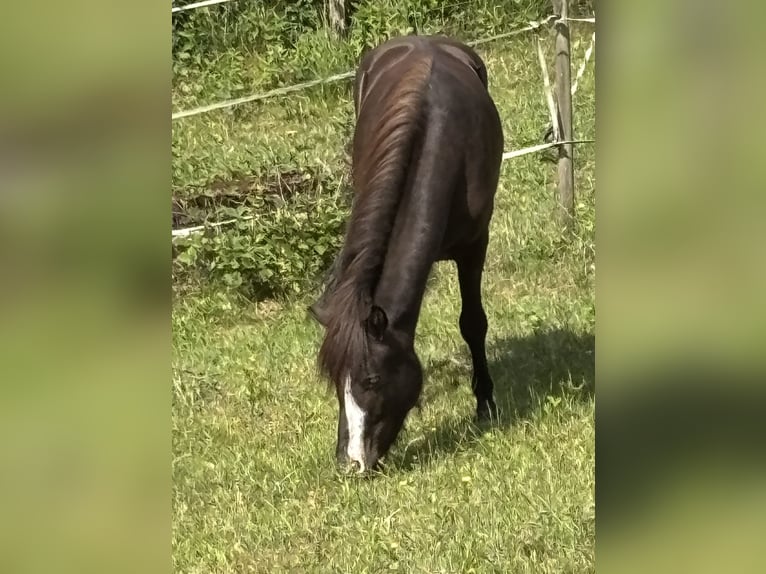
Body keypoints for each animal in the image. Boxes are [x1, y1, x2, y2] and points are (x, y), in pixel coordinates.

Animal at [309, 35, 504, 472]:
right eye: (336, 382)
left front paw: (485, 402)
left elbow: (473, 323)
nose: (351, 462)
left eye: (372, 380)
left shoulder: (474, 246)